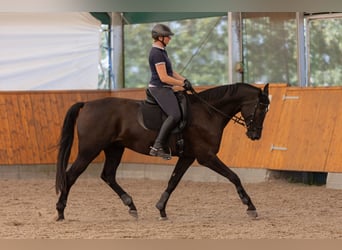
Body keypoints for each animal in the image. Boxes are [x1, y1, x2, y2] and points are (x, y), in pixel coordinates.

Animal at [55, 82, 270, 221]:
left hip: (114, 148)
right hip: (89, 150)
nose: (255, 135)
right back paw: (60, 211)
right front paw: (250, 207)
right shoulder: (206, 157)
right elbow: (234, 176)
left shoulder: (188, 156)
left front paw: (161, 209)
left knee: (108, 175)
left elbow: (173, 181)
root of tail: (87, 104)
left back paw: (131, 206)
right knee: (70, 176)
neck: (208, 112)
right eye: (261, 107)